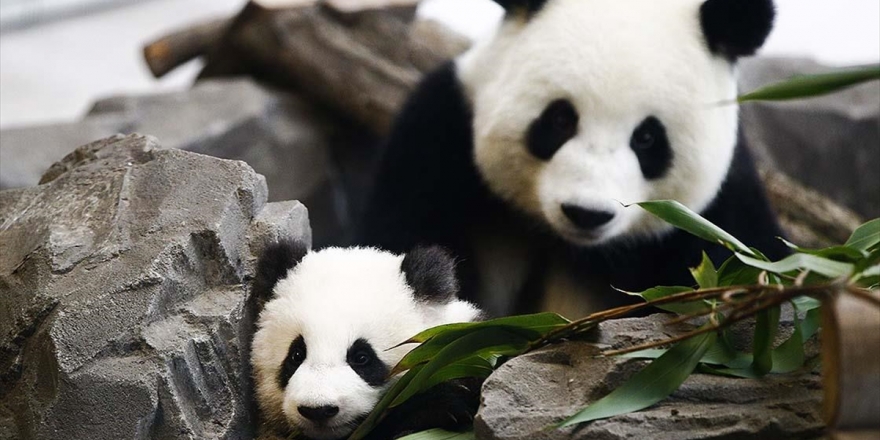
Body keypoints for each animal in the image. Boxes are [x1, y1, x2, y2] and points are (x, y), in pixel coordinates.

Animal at [360, 0, 789, 318]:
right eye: (561, 119)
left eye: (647, 137)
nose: (587, 214)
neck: (568, 243)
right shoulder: (438, 144)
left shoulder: (717, 221)